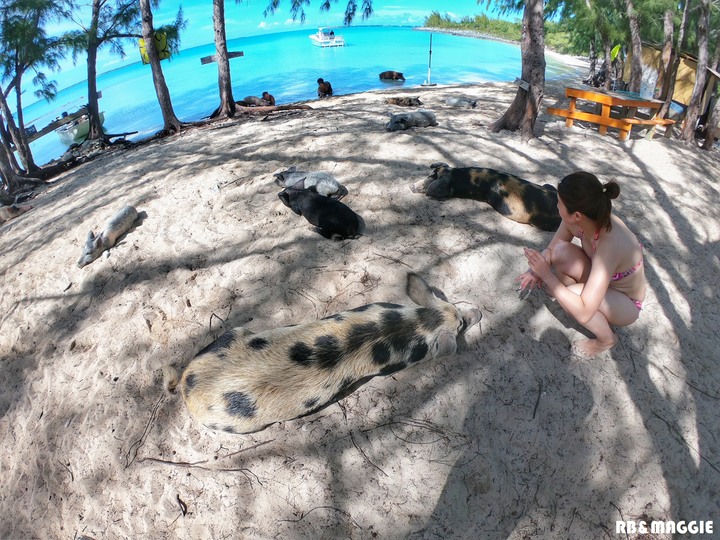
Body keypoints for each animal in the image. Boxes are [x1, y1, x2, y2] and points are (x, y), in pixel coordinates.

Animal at [162, 272, 478, 432]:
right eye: (461, 324)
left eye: (457, 311)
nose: (479, 312)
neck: (415, 323)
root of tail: (187, 385)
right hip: (237, 425)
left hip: (231, 335)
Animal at [410, 161, 564, 231]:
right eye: (429, 174)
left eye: (432, 178)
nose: (410, 187)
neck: (456, 175)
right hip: (548, 186)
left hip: (540, 221)